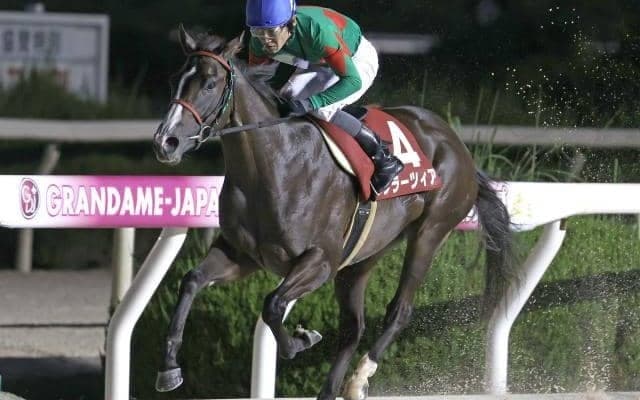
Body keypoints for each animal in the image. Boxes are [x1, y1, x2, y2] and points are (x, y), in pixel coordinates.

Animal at [152, 27, 517, 400]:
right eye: (175, 80)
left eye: (210, 84)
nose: (166, 142)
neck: (272, 166)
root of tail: (457, 144)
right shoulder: (244, 255)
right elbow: (191, 280)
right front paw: (169, 368)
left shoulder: (321, 260)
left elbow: (272, 305)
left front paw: (301, 339)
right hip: (364, 255)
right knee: (353, 327)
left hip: (430, 232)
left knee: (399, 311)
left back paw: (359, 378)